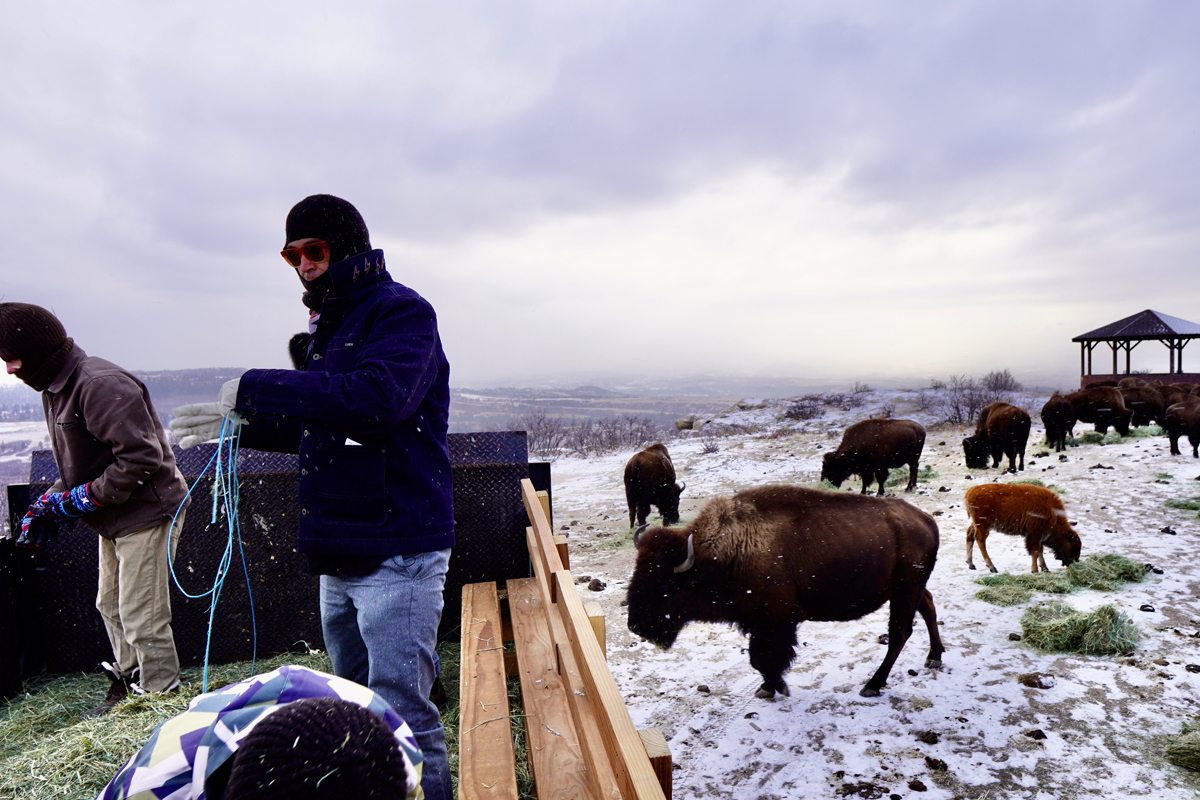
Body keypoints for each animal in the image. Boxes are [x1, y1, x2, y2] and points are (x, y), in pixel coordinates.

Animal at [626, 485, 944, 700]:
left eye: (666, 585)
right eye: (637, 573)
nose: (636, 625)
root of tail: (926, 521)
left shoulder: (776, 620)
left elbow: (764, 657)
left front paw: (775, 687)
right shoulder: (760, 622)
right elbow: (760, 658)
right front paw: (769, 687)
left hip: (905, 589)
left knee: (900, 632)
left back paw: (872, 685)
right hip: (911, 587)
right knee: (928, 607)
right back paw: (934, 658)